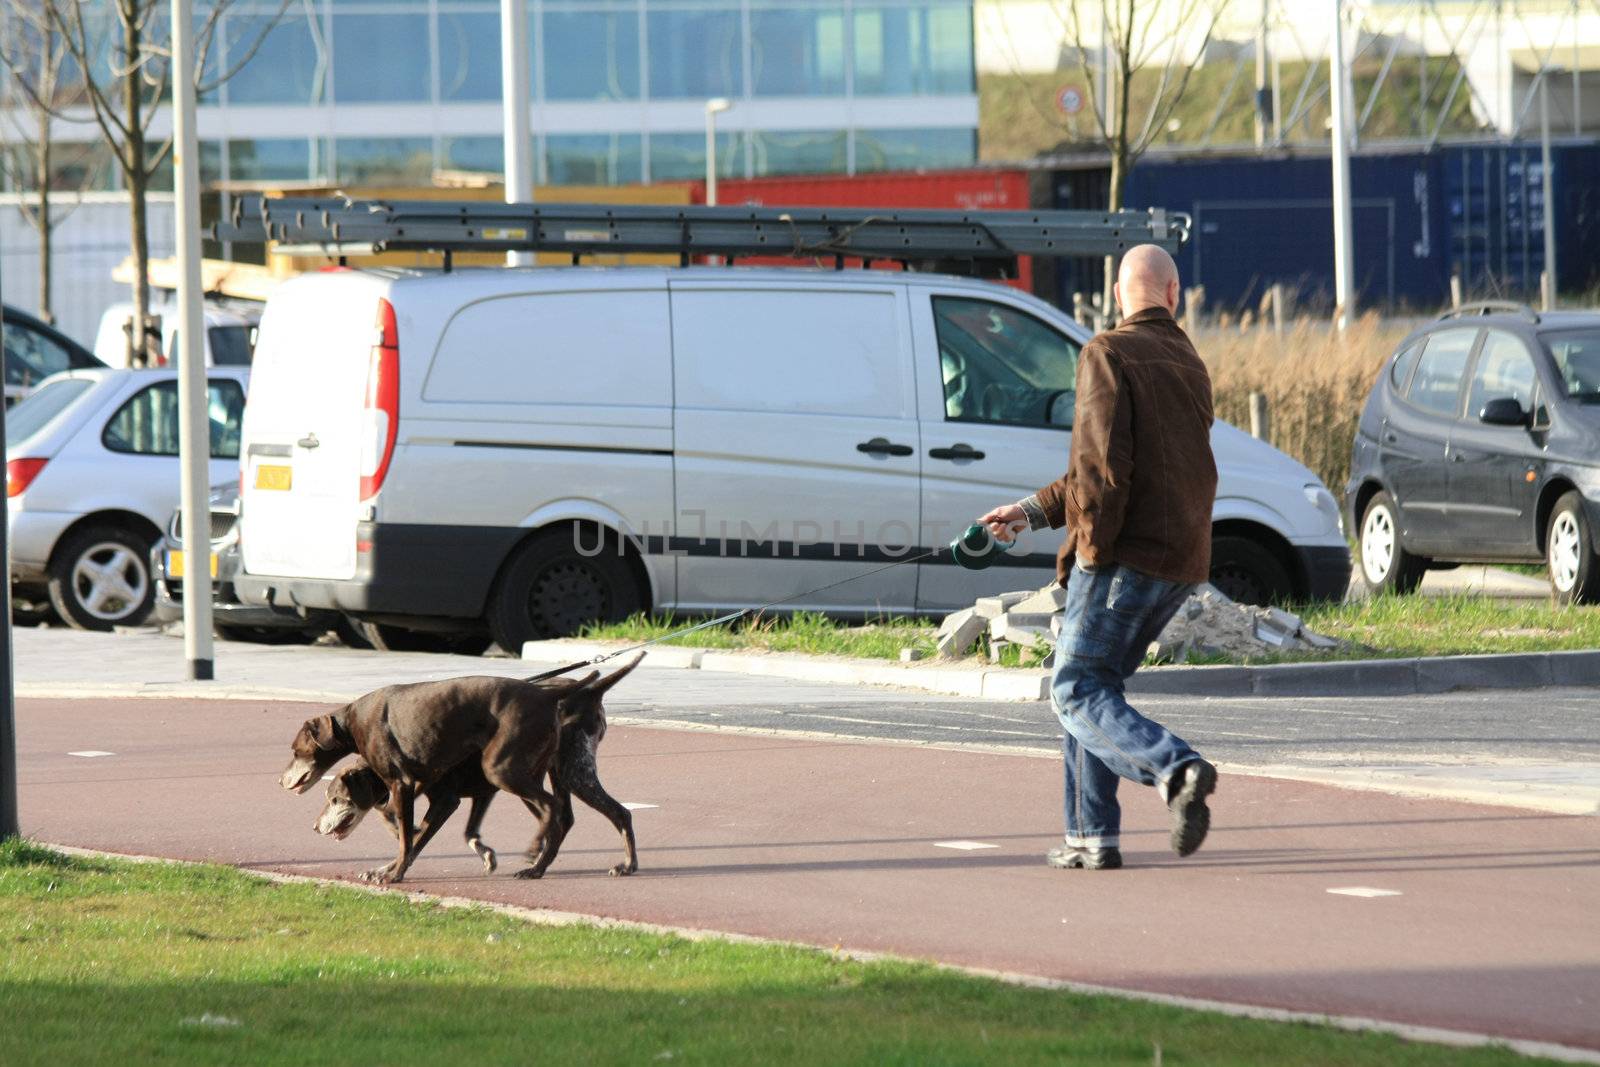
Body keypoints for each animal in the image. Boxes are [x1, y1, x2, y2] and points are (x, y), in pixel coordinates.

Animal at [278, 655, 640, 889]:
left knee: (563, 811)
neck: (353, 721)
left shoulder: (416, 790)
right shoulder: (441, 792)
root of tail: (552, 694)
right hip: (545, 772)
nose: (281, 780)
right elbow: (416, 833)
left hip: (513, 770)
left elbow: (408, 837)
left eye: (296, 751)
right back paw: (555, 865)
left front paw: (393, 873)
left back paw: (541, 854)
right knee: (580, 815)